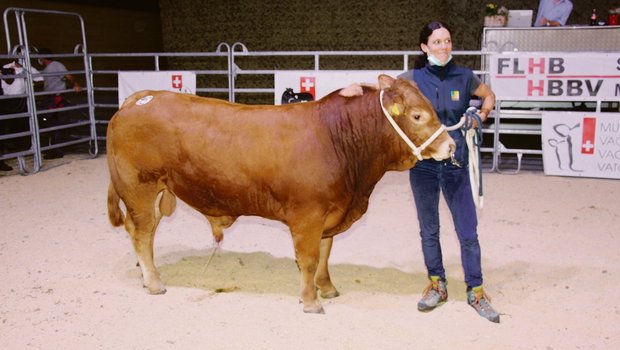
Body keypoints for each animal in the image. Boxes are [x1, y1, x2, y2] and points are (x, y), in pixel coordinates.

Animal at [106, 74, 456, 314]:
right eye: (417, 116)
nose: (451, 146)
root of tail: (139, 99)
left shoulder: (329, 215)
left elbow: (325, 255)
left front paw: (326, 287)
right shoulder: (307, 216)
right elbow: (309, 259)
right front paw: (310, 301)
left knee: (144, 234)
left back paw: (146, 273)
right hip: (140, 189)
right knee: (141, 232)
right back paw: (154, 282)